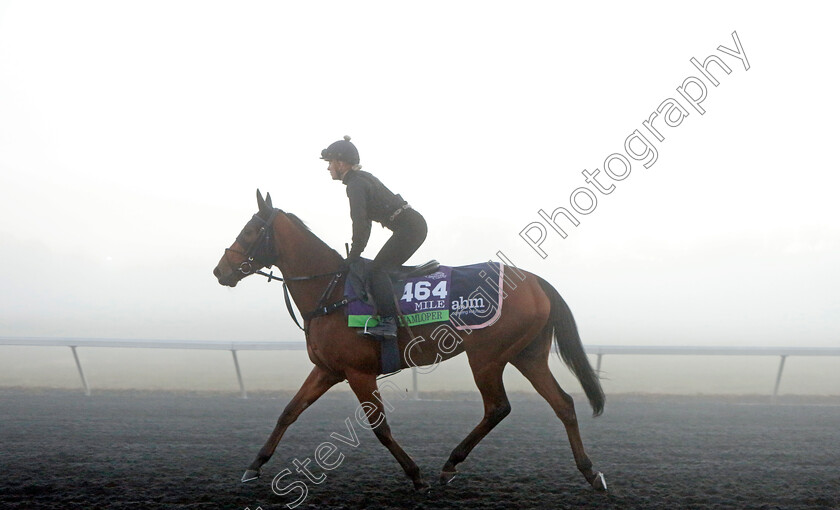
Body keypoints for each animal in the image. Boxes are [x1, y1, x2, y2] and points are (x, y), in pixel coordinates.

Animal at [210, 190, 604, 490]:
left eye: (250, 231)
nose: (219, 271)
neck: (331, 293)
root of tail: (537, 281)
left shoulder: (358, 372)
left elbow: (380, 428)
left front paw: (415, 475)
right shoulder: (327, 370)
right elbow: (288, 412)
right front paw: (254, 465)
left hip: (487, 356)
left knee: (498, 407)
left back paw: (450, 463)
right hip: (527, 355)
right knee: (564, 403)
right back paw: (590, 472)